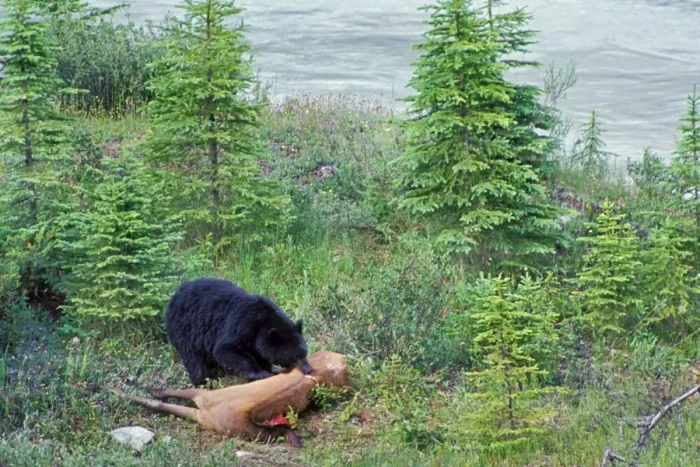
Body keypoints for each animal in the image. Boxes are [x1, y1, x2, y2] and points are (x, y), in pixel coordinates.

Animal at [165, 278, 312, 386]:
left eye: (305, 353)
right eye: (295, 356)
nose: (309, 369)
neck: (262, 322)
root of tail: (174, 295)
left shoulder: (256, 339)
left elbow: (259, 354)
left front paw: (268, 370)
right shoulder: (242, 324)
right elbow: (225, 350)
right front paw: (260, 373)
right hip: (185, 328)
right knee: (194, 359)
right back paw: (204, 381)